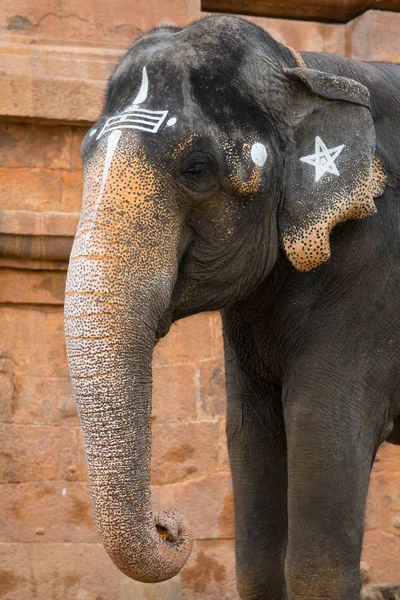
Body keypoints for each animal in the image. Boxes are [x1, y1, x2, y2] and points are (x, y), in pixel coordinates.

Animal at [64, 14, 398, 600]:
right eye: (84, 155)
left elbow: (321, 432)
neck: (304, 70)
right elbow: (251, 446)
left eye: (195, 167)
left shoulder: (370, 276)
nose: (170, 524)